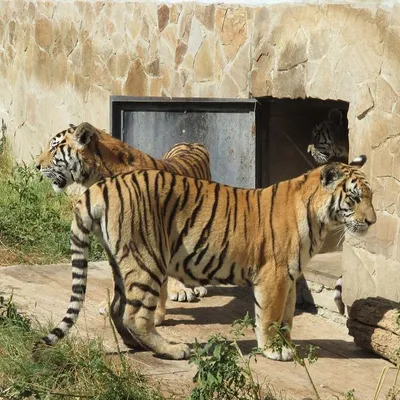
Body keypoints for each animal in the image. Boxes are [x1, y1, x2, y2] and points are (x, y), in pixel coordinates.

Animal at [36, 155, 376, 360]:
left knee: (119, 308)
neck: (320, 220)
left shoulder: (291, 277)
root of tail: (102, 186)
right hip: (148, 259)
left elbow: (287, 317)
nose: (372, 221)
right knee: (135, 315)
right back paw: (173, 350)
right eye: (354, 198)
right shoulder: (275, 275)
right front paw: (274, 350)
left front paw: (287, 344)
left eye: (371, 196)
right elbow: (269, 316)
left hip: (122, 262)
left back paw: (136, 345)